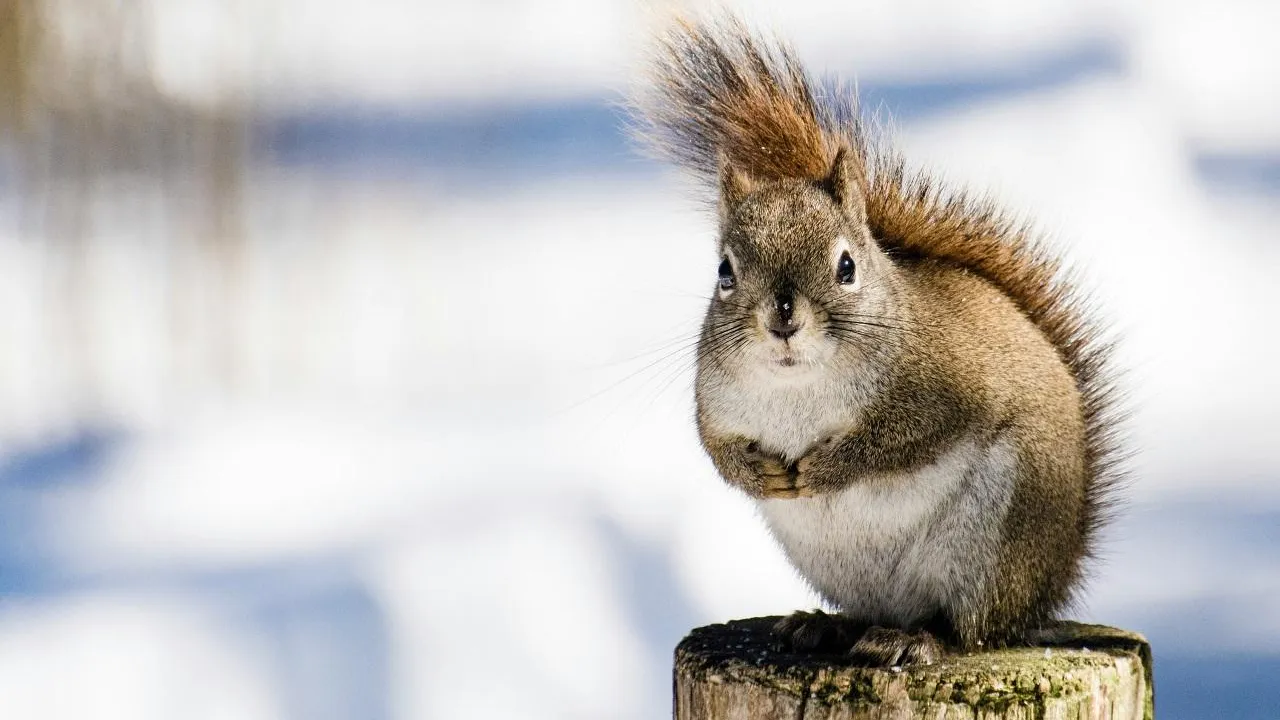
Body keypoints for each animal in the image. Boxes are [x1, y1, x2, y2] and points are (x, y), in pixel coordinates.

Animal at [632, 16, 1131, 666]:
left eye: (847, 266)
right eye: (724, 270)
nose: (783, 318)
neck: (798, 386)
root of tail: (1047, 589)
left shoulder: (945, 391)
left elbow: (901, 440)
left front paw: (825, 468)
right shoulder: (714, 403)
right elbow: (715, 448)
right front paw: (760, 474)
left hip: (998, 540)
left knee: (969, 628)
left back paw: (917, 638)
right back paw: (826, 626)